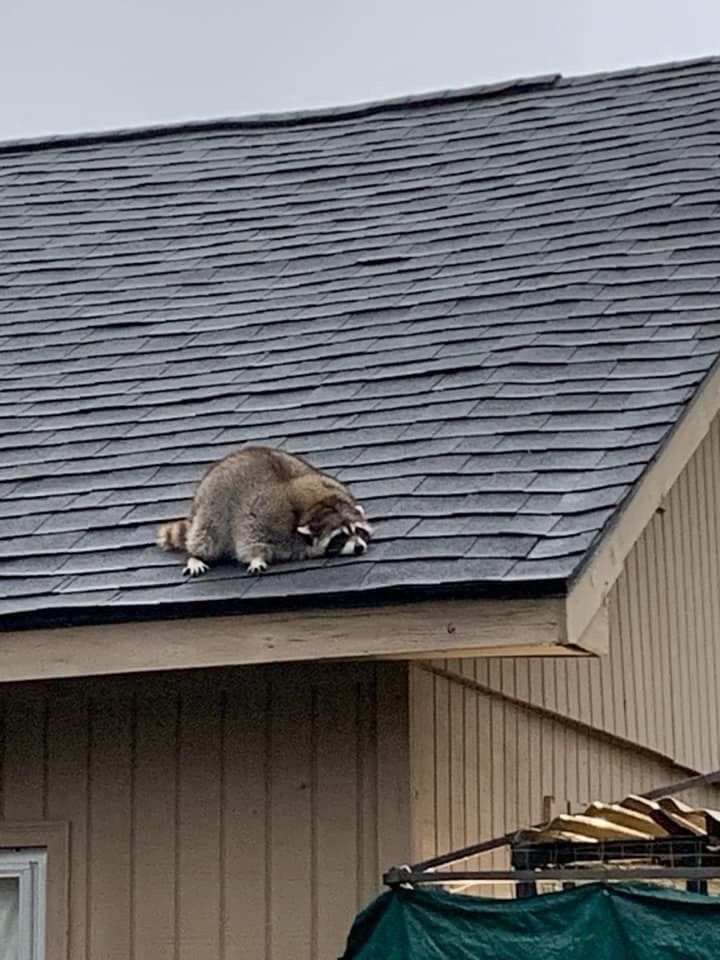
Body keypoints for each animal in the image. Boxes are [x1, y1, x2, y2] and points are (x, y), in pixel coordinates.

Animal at [156, 446, 372, 577]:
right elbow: (250, 535)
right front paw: (256, 557)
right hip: (211, 508)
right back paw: (195, 555)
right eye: (340, 536)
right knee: (207, 536)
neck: (320, 505)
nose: (359, 547)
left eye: (358, 531)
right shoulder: (266, 514)